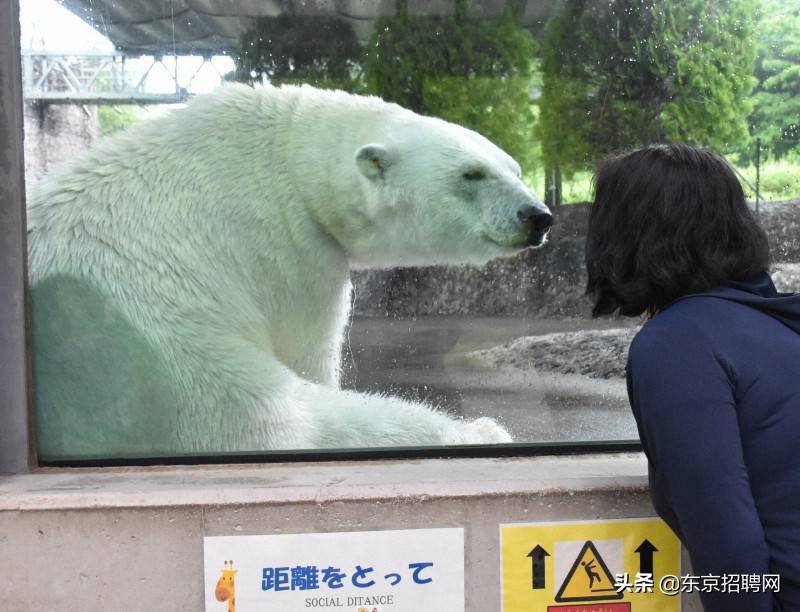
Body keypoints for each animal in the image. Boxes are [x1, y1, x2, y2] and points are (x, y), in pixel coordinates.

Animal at [25, 85, 552, 460]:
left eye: (514, 167)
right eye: (472, 174)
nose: (538, 216)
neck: (288, 150)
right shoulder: (291, 245)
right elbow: (307, 351)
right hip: (183, 370)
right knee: (300, 417)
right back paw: (482, 430)